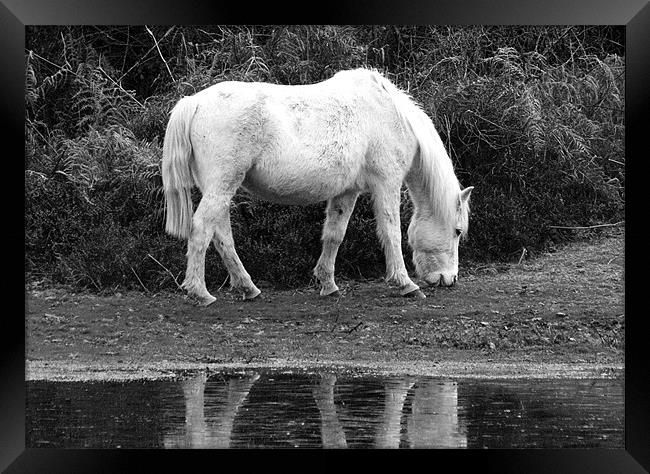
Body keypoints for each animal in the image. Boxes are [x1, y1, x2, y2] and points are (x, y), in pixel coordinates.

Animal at [159, 68, 474, 306]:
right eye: (458, 231)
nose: (450, 279)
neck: (388, 114)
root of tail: (194, 102)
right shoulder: (387, 184)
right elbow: (391, 232)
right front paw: (406, 283)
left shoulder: (347, 192)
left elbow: (334, 235)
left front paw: (328, 284)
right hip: (221, 186)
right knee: (202, 229)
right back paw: (200, 293)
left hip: (220, 189)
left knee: (222, 236)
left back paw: (248, 288)